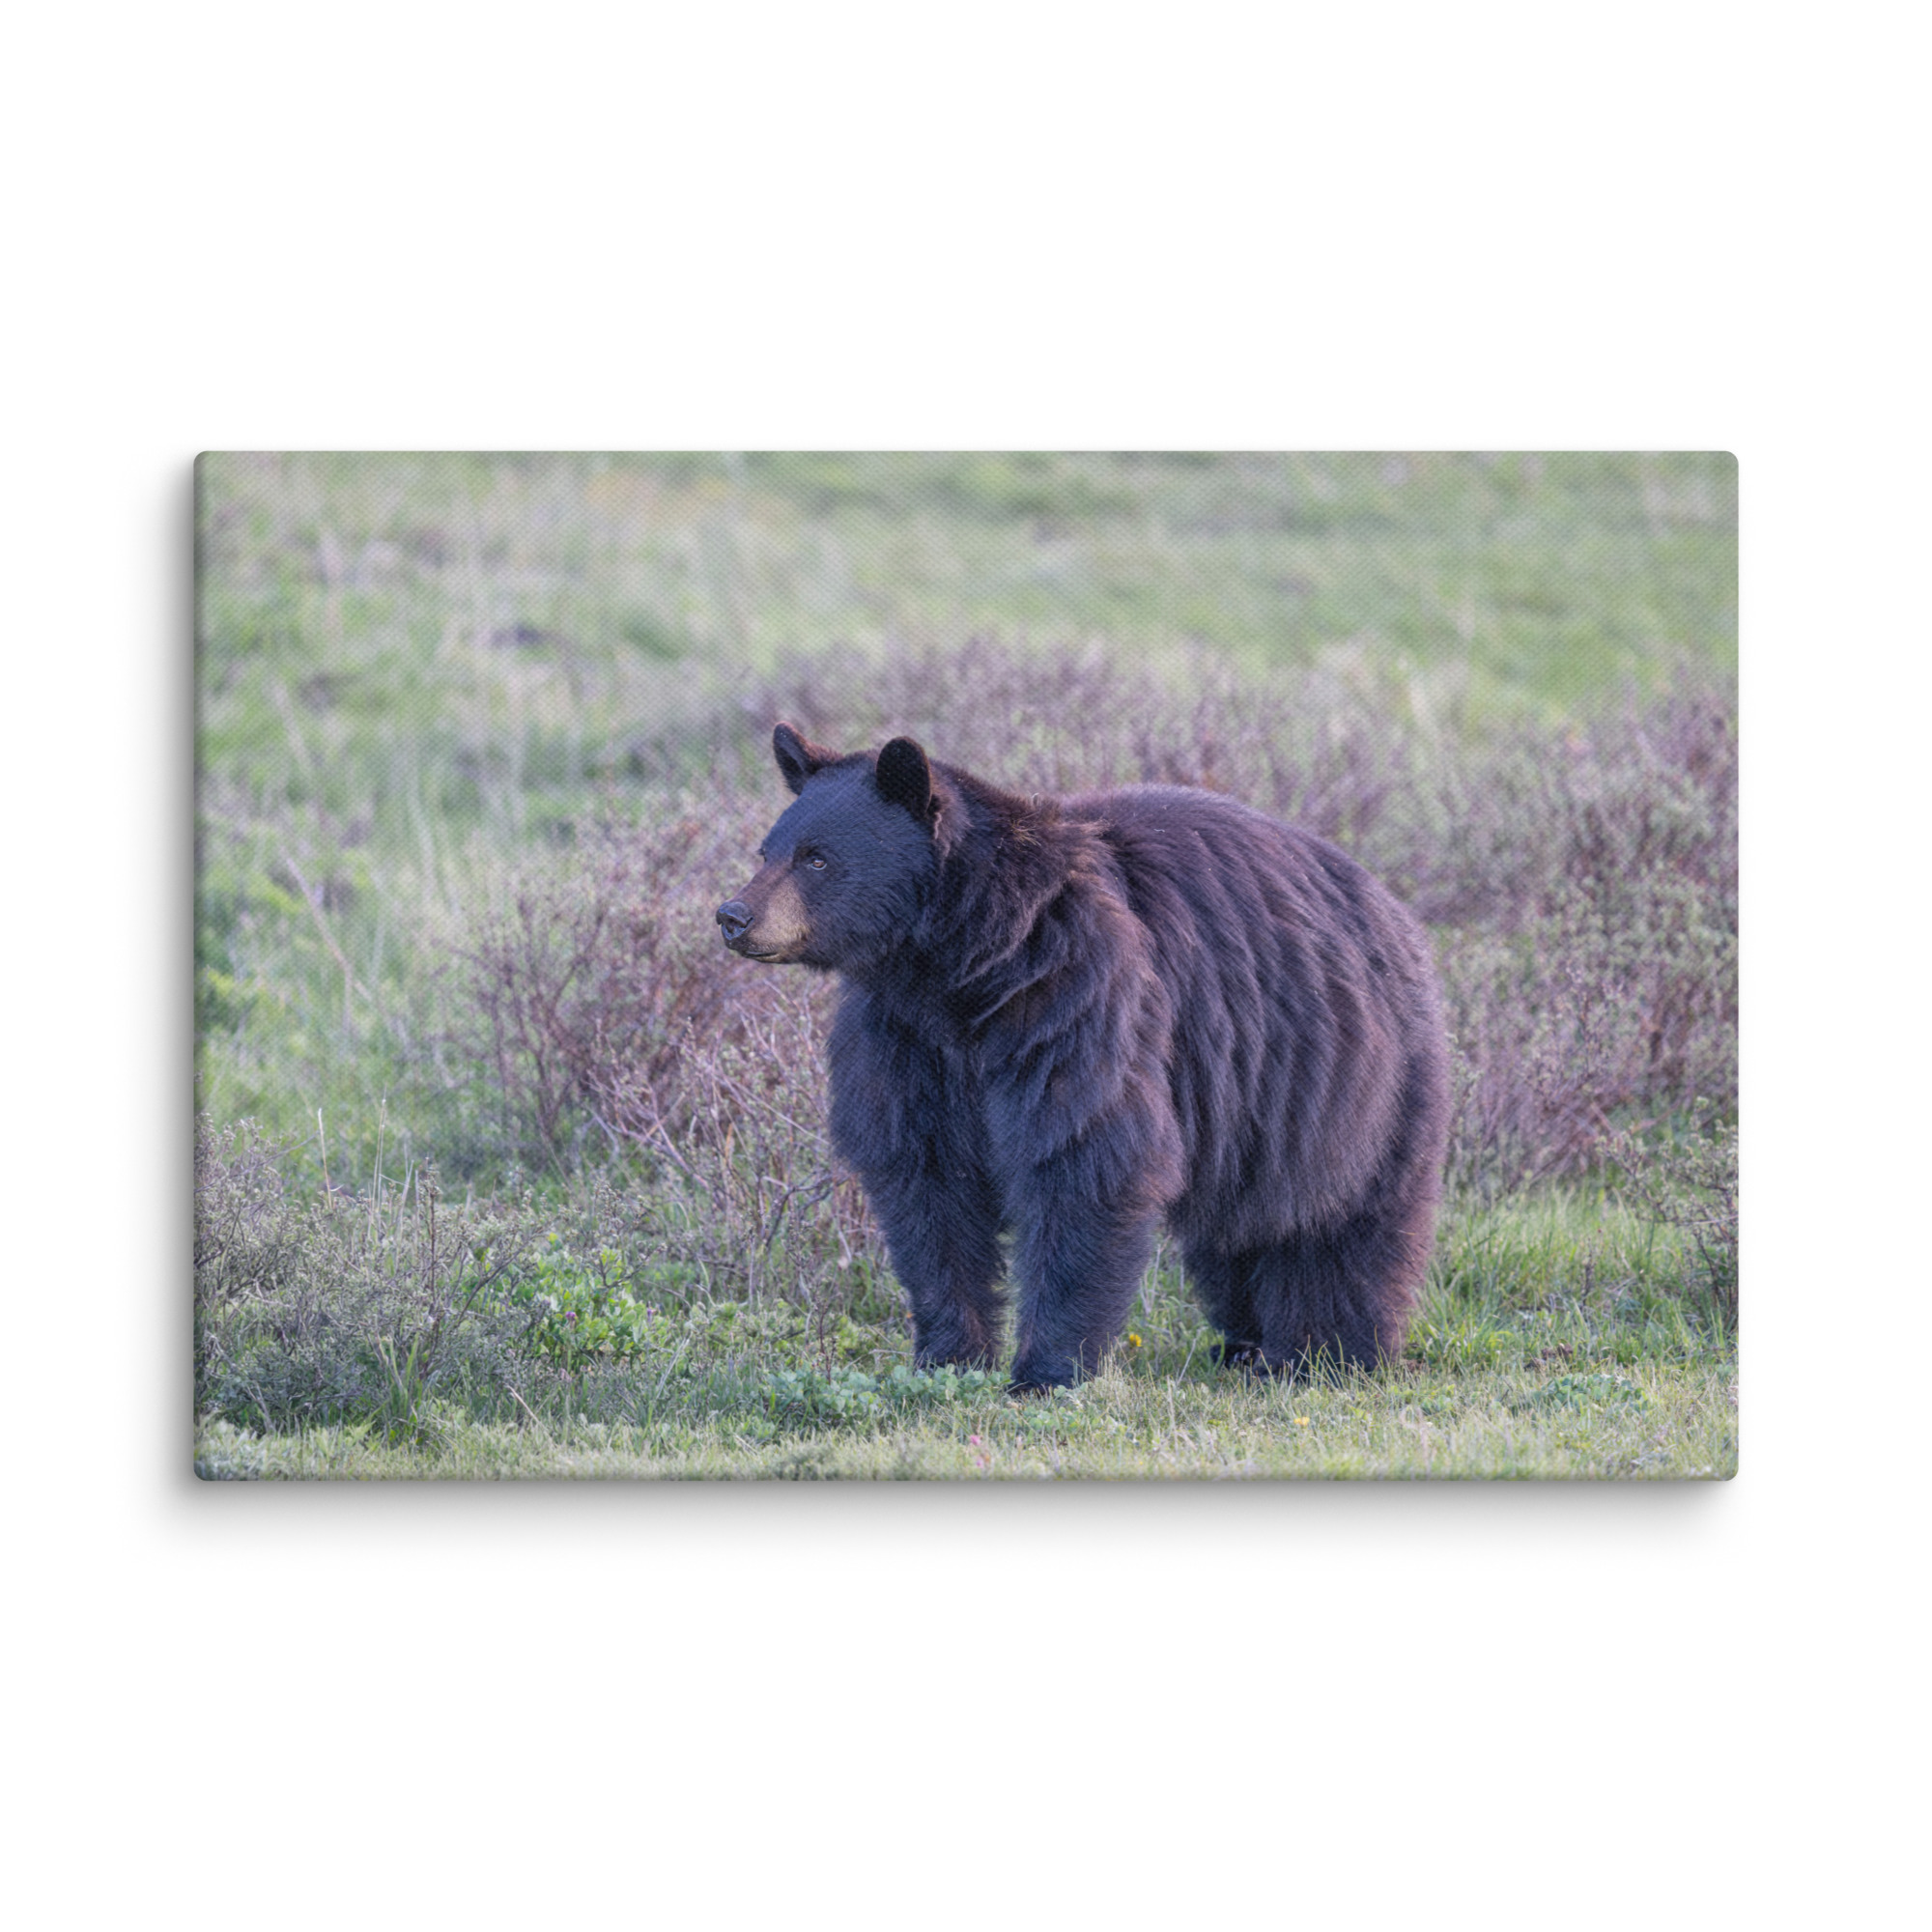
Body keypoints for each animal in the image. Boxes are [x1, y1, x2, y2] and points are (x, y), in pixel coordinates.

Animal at [715, 722, 1451, 1392]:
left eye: (817, 858)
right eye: (767, 849)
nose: (733, 915)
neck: (962, 968)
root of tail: (1392, 907)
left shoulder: (1075, 997)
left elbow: (1083, 1158)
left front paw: (1045, 1371)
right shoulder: (906, 1041)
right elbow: (926, 1182)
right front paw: (948, 1356)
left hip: (1349, 1079)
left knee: (1343, 1222)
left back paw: (1327, 1351)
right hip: (1252, 1106)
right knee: (1239, 1230)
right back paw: (1245, 1344)